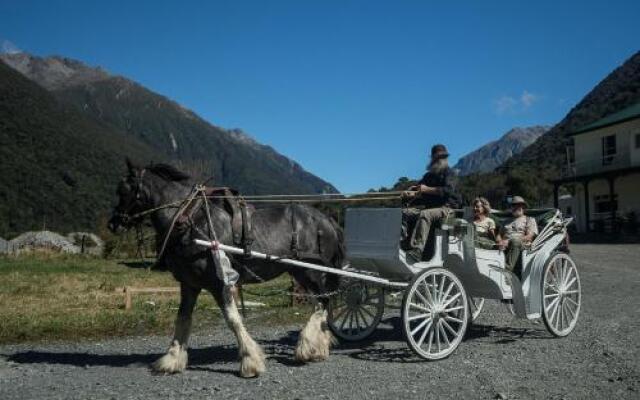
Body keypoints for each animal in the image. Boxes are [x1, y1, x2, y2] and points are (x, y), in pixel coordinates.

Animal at [107, 160, 344, 378]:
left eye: (123, 190)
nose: (113, 224)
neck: (191, 222)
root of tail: (326, 219)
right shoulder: (189, 283)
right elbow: (183, 318)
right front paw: (172, 359)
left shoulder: (218, 282)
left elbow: (232, 319)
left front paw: (250, 360)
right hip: (301, 272)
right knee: (322, 303)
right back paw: (319, 346)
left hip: (309, 271)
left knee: (323, 302)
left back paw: (307, 346)